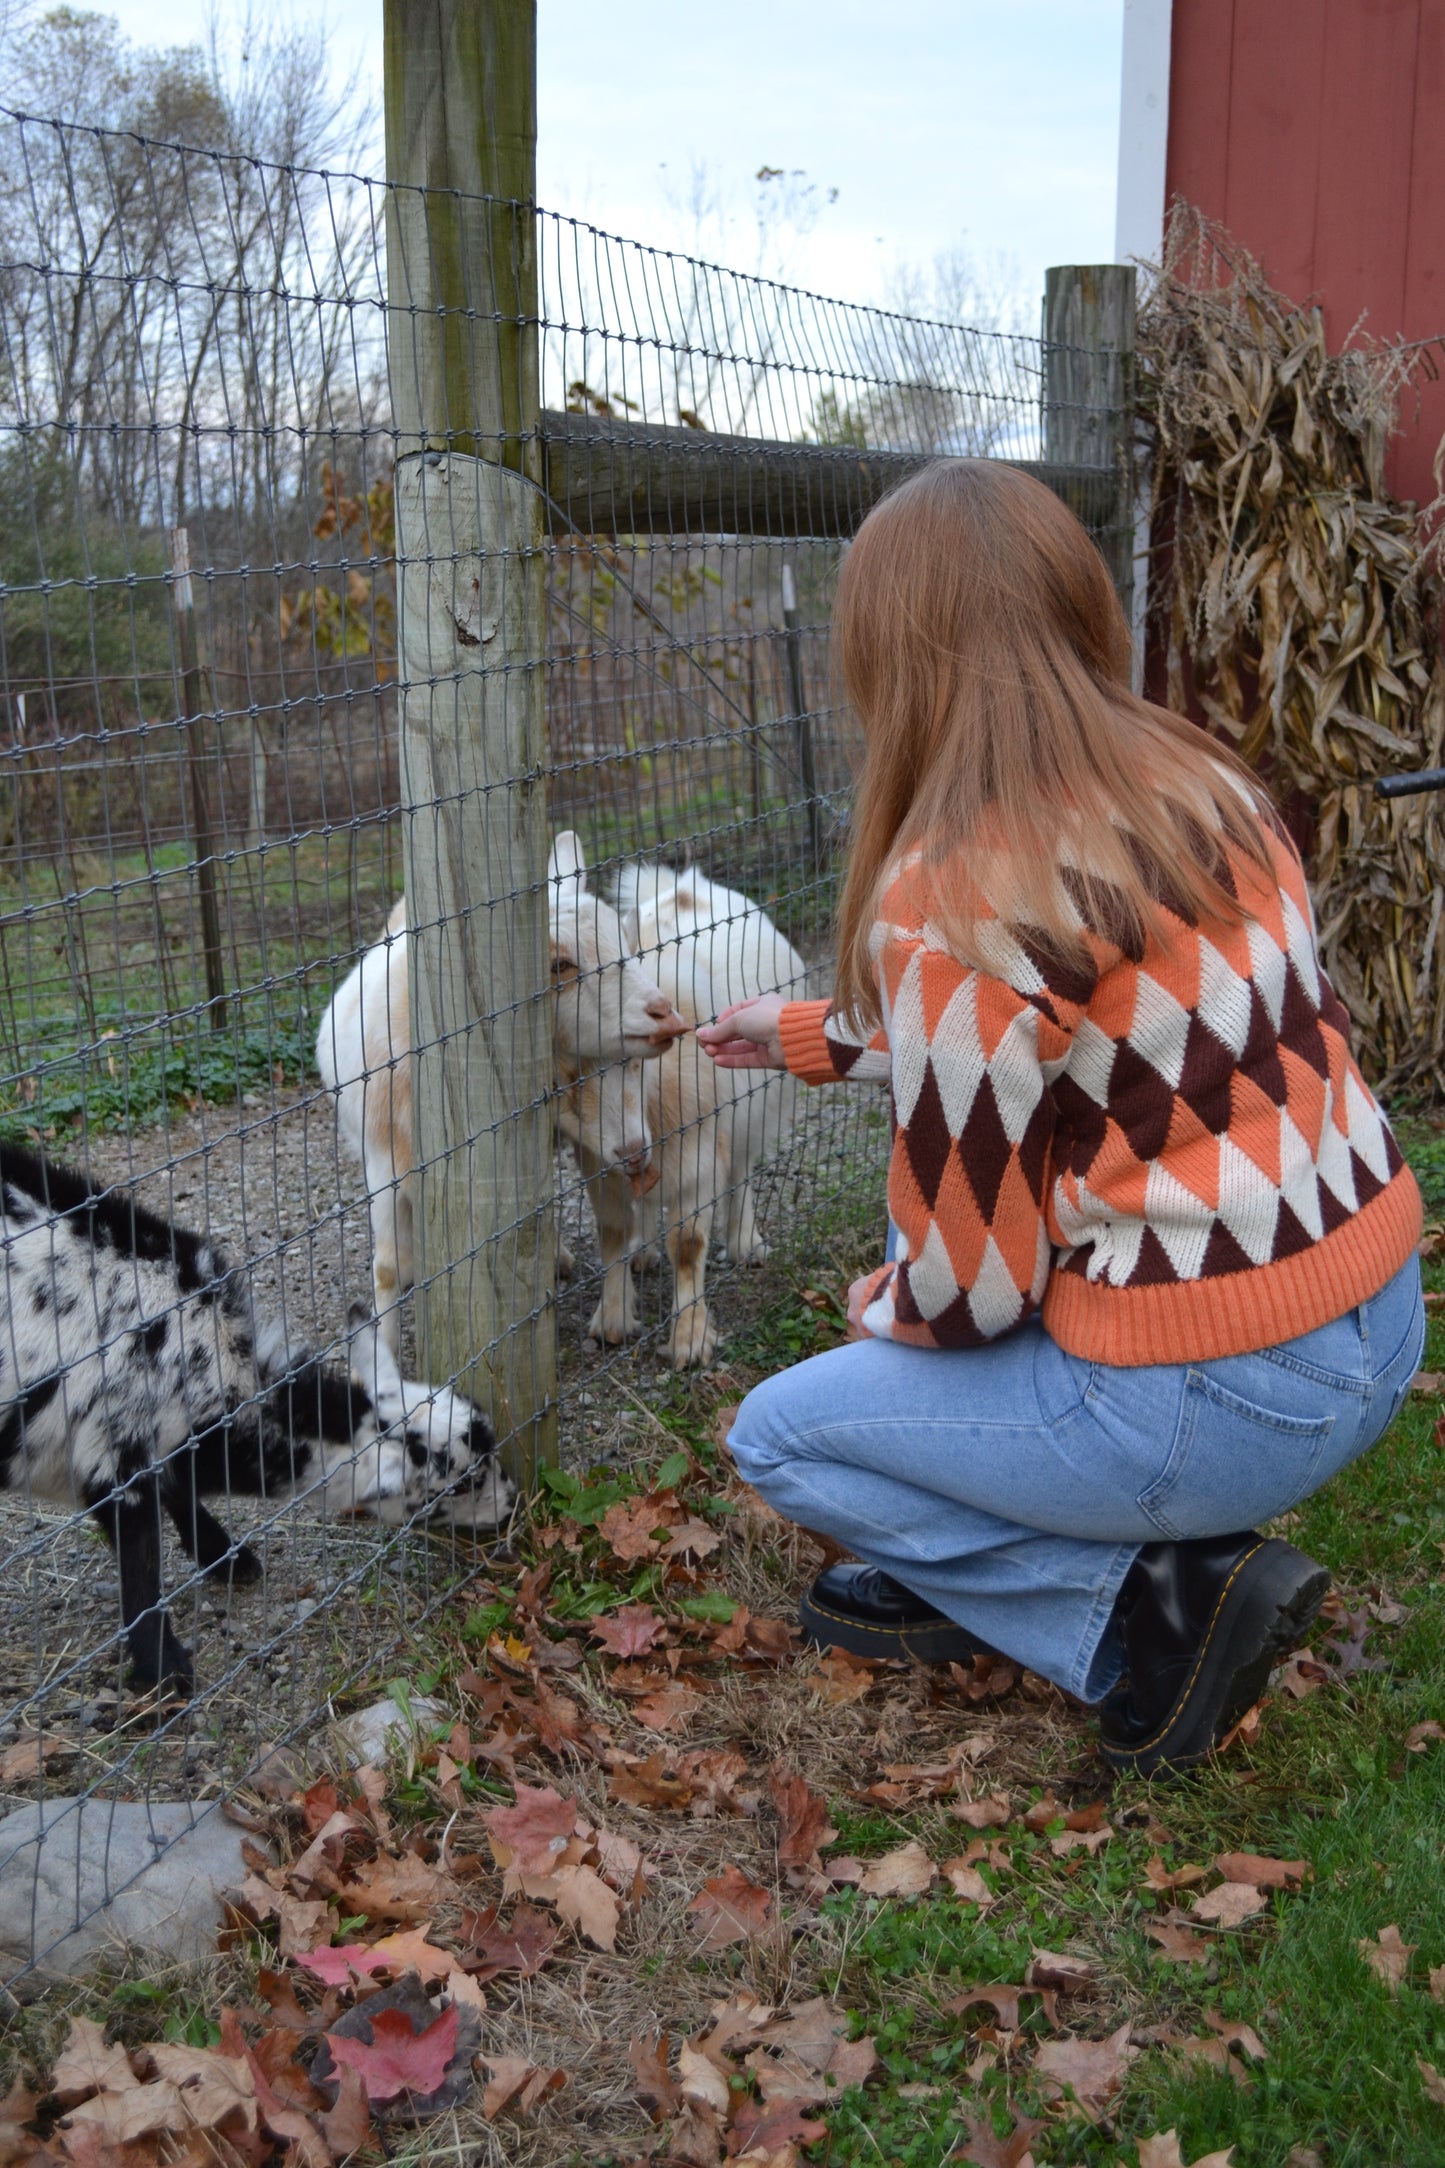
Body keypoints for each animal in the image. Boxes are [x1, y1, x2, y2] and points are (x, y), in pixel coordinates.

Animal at [0, 1144, 517, 1682]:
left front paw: (227, 1559)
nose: (512, 1503)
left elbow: (177, 1492)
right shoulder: (114, 1456)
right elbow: (141, 1566)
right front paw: (165, 1669)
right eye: (460, 1484)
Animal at [314, 836, 684, 1344]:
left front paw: (614, 1318)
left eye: (625, 947)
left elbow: (611, 1222)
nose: (666, 1016)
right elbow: (387, 1267)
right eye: (559, 964)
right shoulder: (383, 1160)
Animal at [589, 867, 814, 1361]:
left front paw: (689, 1344)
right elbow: (613, 1231)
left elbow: (688, 1244)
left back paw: (746, 1246)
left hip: (751, 1113)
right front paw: (612, 1322)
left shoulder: (701, 1155)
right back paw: (643, 1253)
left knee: (743, 1171)